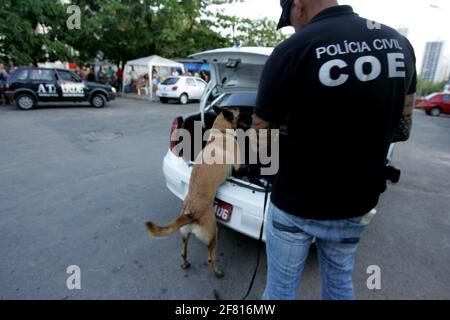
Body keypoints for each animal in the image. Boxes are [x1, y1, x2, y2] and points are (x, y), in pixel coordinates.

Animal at [146, 107, 241, 278]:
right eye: (236, 110)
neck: (221, 132)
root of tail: (189, 213)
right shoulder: (237, 163)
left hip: (184, 235)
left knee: (183, 252)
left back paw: (185, 263)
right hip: (213, 233)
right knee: (211, 257)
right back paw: (217, 272)